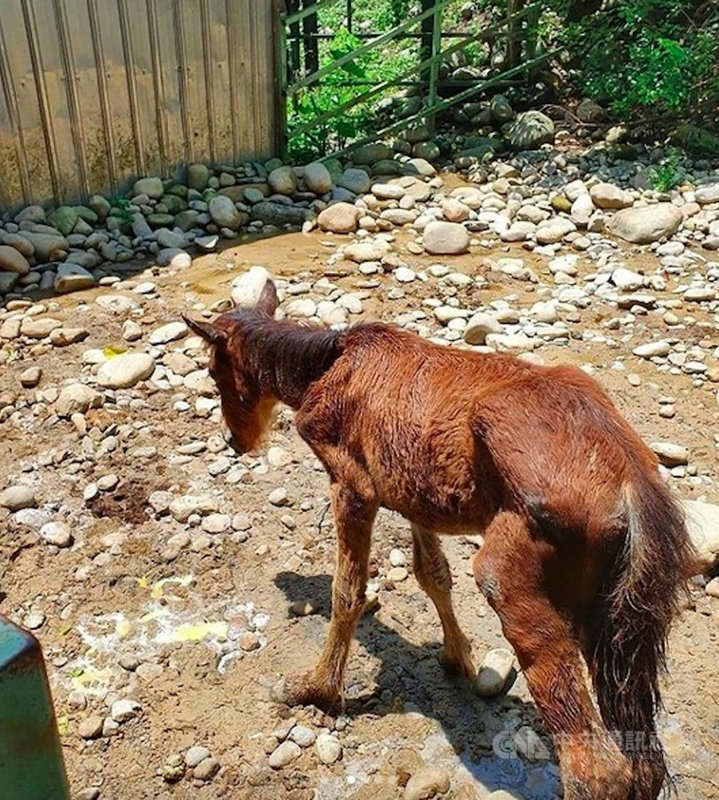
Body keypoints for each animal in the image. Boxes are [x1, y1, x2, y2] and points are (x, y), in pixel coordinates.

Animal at [184, 278, 692, 800]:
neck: (314, 373)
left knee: (598, 768)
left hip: (511, 574)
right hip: (613, 614)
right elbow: (433, 575)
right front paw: (457, 657)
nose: (234, 441)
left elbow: (347, 592)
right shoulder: (415, 495)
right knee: (645, 760)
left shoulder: (353, 486)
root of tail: (633, 486)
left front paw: (316, 689)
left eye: (213, 369)